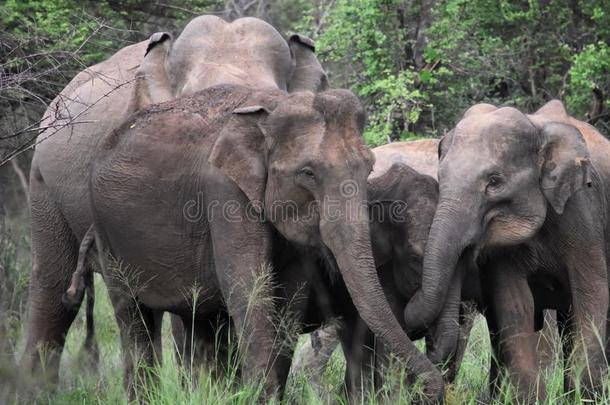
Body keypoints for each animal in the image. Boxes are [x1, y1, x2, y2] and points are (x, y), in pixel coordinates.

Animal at [84, 83, 442, 400]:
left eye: (369, 169)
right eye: (308, 173)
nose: (432, 390)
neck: (271, 109)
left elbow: (286, 301)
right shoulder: (224, 193)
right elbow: (249, 293)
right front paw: (260, 396)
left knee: (199, 322)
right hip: (104, 227)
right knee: (133, 317)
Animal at [402, 99, 608, 400]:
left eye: (494, 181)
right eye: (440, 178)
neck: (535, 127)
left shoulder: (584, 211)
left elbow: (592, 293)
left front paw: (587, 397)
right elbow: (512, 300)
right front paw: (528, 399)